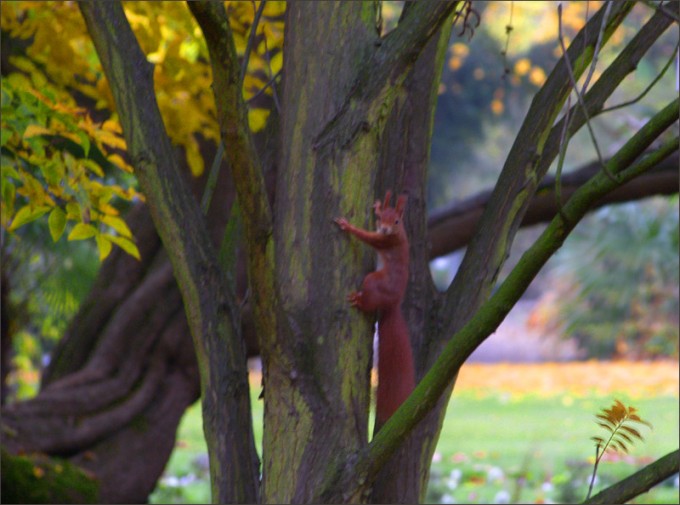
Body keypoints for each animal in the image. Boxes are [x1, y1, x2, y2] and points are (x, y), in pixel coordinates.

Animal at [334, 190, 415, 431]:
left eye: (396, 221)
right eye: (381, 219)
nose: (386, 228)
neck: (399, 232)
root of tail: (393, 304)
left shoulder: (385, 240)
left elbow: (367, 237)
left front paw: (347, 226)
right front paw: (378, 204)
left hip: (374, 280)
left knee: (369, 296)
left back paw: (359, 301)